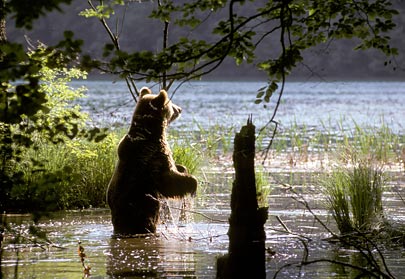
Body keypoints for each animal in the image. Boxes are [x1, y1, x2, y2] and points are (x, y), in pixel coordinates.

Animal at [106, 87, 196, 236]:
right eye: (171, 103)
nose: (180, 109)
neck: (149, 132)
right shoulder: (154, 156)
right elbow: (169, 180)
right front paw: (192, 183)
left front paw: (183, 168)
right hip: (142, 211)